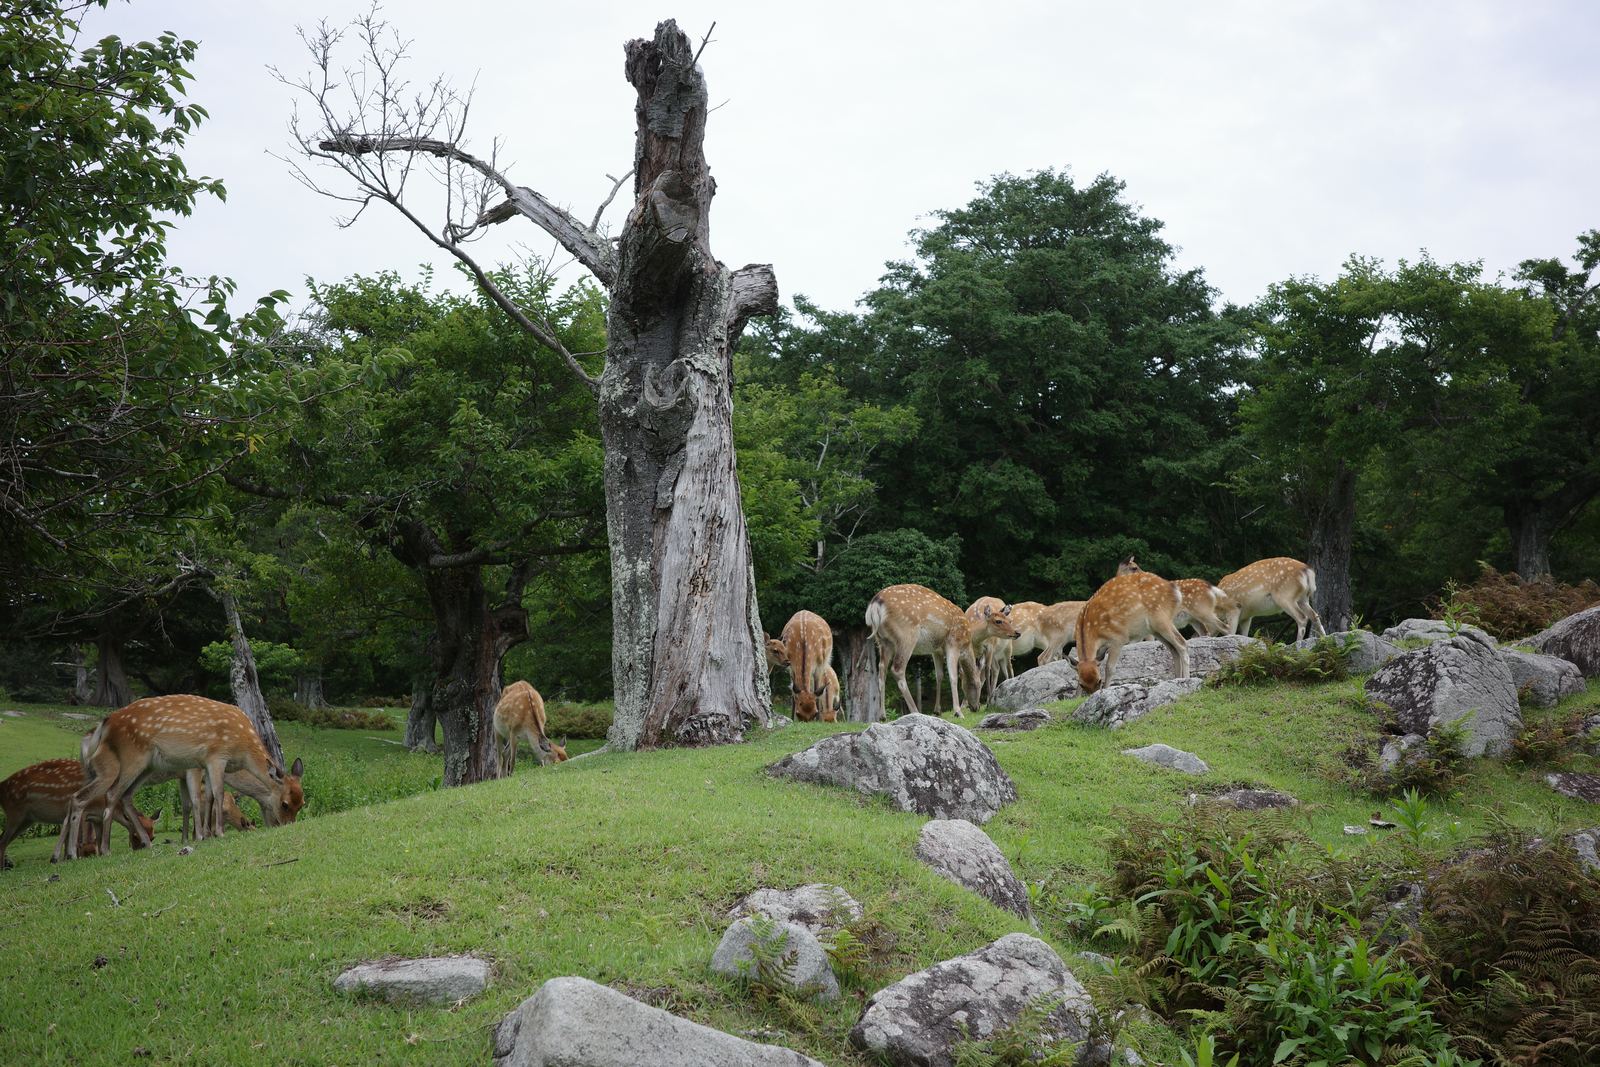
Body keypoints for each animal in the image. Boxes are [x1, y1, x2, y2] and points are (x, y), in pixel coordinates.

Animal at [1, 759, 161, 868]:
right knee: (2, 840)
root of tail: (2, 784)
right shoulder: (87, 813)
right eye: (134, 836)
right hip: (15, 814)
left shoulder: (97, 818)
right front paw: (75, 855)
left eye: (154, 837)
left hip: (27, 819)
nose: (139, 849)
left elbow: (98, 837)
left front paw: (98, 853)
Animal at [57, 695, 304, 862]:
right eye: (284, 804)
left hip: (145, 766)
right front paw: (215, 833)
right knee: (109, 795)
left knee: (120, 797)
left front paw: (203, 835)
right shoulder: (213, 757)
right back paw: (95, 851)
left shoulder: (200, 764)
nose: (286, 826)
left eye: (301, 803)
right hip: (129, 760)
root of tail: (104, 724)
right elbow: (214, 795)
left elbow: (205, 798)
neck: (242, 751)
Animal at [867, 585, 1016, 718]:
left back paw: (882, 716)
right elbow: (953, 676)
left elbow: (939, 675)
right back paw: (915, 711)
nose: (976, 707)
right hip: (906, 636)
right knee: (897, 669)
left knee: (881, 670)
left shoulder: (936, 649)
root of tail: (874, 606)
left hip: (883, 641)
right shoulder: (953, 643)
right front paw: (958, 711)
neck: (967, 641)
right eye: (977, 685)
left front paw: (937, 711)